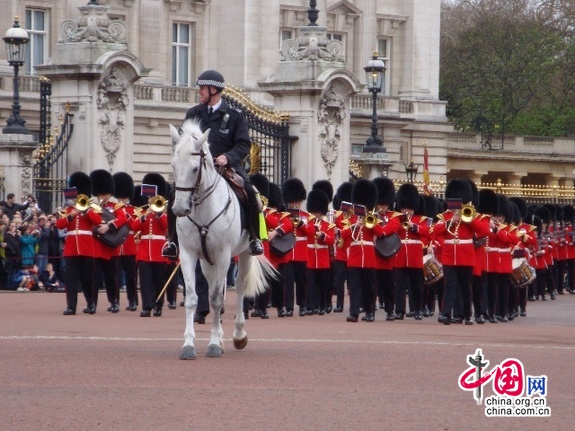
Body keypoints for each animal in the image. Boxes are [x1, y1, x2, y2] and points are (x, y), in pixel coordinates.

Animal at [170, 120, 276, 360]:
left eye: (195, 168)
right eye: (173, 166)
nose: (179, 209)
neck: (202, 209)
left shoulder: (223, 256)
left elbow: (218, 298)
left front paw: (213, 345)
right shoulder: (189, 254)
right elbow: (193, 298)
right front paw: (188, 345)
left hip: (243, 255)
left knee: (239, 286)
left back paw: (238, 335)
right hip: (206, 261)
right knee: (210, 287)